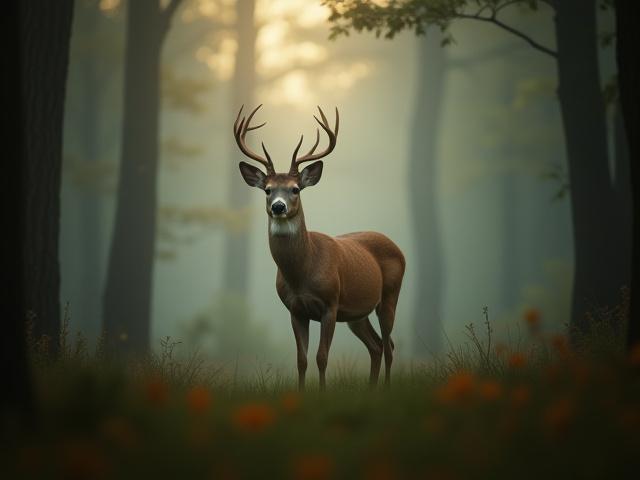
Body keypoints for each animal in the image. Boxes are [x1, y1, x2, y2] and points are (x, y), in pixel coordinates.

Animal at [233, 105, 405, 390]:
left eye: (295, 189)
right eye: (267, 190)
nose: (278, 206)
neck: (302, 272)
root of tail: (397, 247)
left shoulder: (330, 304)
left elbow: (322, 357)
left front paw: (323, 393)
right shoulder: (295, 309)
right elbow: (301, 360)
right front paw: (302, 393)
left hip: (390, 295)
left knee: (390, 345)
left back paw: (387, 389)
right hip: (357, 313)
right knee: (377, 345)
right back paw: (372, 389)